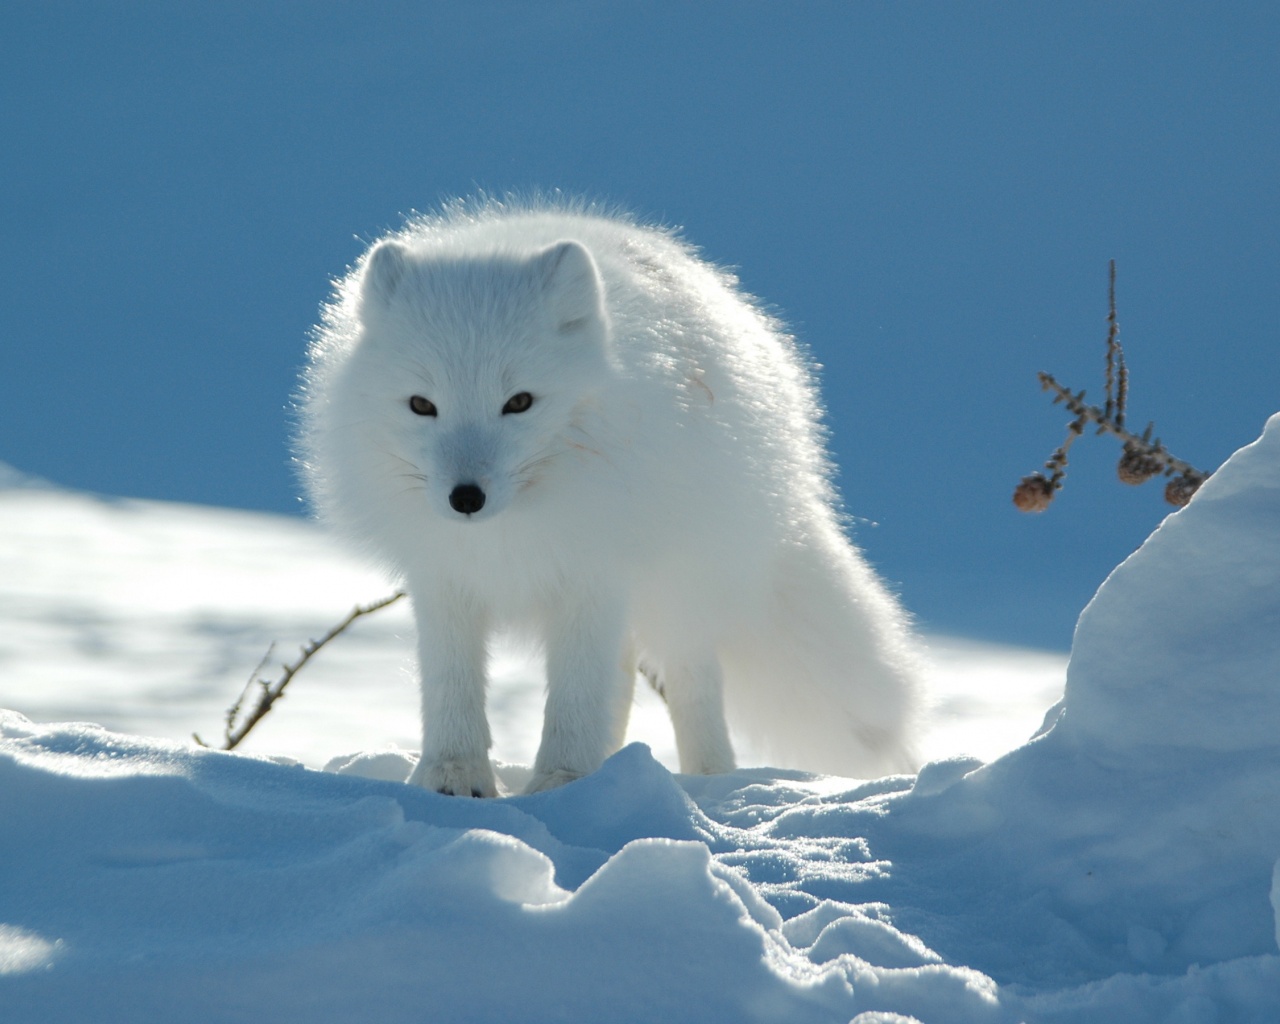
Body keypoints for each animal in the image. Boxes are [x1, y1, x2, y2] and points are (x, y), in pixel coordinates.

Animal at [299, 198, 921, 793]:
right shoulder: (444, 578)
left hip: (681, 587)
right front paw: (453, 776)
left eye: (519, 402)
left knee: (691, 682)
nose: (465, 499)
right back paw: (614, 767)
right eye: (421, 405)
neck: (511, 532)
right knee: (620, 682)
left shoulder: (593, 573)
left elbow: (576, 696)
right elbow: (452, 684)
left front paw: (562, 782)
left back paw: (709, 781)